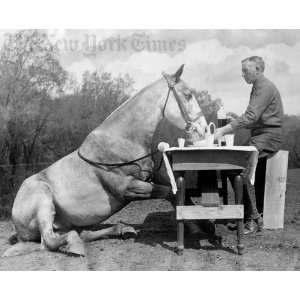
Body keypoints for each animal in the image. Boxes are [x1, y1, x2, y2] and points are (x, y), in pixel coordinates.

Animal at [3, 64, 217, 256]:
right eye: (188, 95)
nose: (203, 130)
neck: (122, 140)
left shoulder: (152, 177)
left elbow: (180, 194)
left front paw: (204, 226)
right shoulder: (129, 188)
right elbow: (172, 194)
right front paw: (202, 228)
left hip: (66, 221)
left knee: (81, 233)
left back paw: (122, 230)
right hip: (43, 199)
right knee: (49, 240)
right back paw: (76, 245)